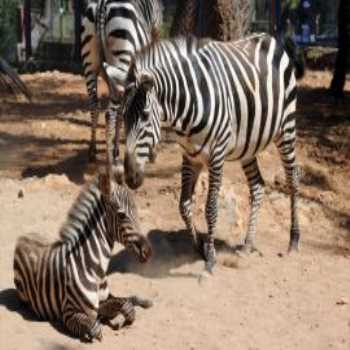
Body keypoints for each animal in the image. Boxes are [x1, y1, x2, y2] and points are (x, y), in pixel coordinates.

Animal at [13, 172, 152, 342]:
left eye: (137, 213)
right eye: (121, 215)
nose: (148, 252)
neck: (95, 269)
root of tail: (23, 237)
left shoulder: (104, 299)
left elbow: (126, 305)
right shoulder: (69, 313)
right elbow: (95, 327)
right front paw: (101, 325)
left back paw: (144, 301)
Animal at [80, 0, 162, 182]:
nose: (157, 35)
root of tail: (102, 6)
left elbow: (122, 112)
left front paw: (116, 149)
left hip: (90, 63)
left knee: (94, 106)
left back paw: (92, 151)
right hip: (122, 55)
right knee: (109, 113)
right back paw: (110, 165)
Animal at [104, 33, 304, 274]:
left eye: (144, 116)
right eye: (123, 116)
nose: (130, 177)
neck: (184, 112)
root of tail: (269, 38)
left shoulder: (216, 156)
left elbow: (210, 208)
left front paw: (210, 260)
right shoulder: (190, 156)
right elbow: (183, 205)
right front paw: (201, 247)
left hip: (286, 128)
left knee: (293, 180)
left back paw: (293, 240)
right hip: (247, 145)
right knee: (257, 186)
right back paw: (248, 244)